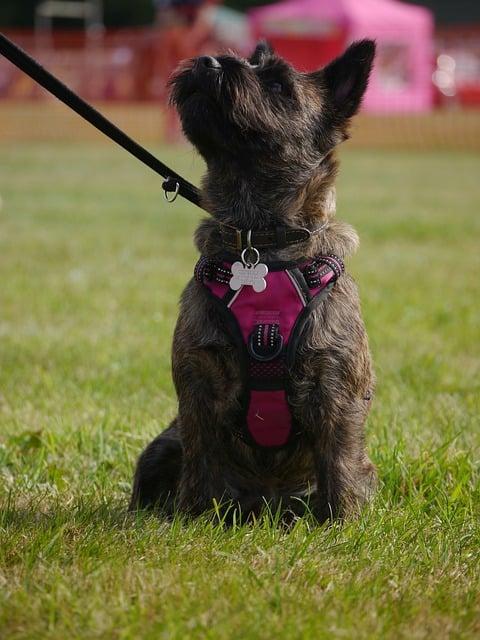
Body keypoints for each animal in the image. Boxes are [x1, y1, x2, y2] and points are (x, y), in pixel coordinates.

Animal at [130, 40, 378, 524]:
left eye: (279, 84)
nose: (207, 63)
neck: (260, 241)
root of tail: (265, 503)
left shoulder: (335, 388)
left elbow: (339, 463)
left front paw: (343, 525)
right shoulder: (198, 384)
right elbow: (201, 461)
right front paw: (192, 519)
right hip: (161, 446)